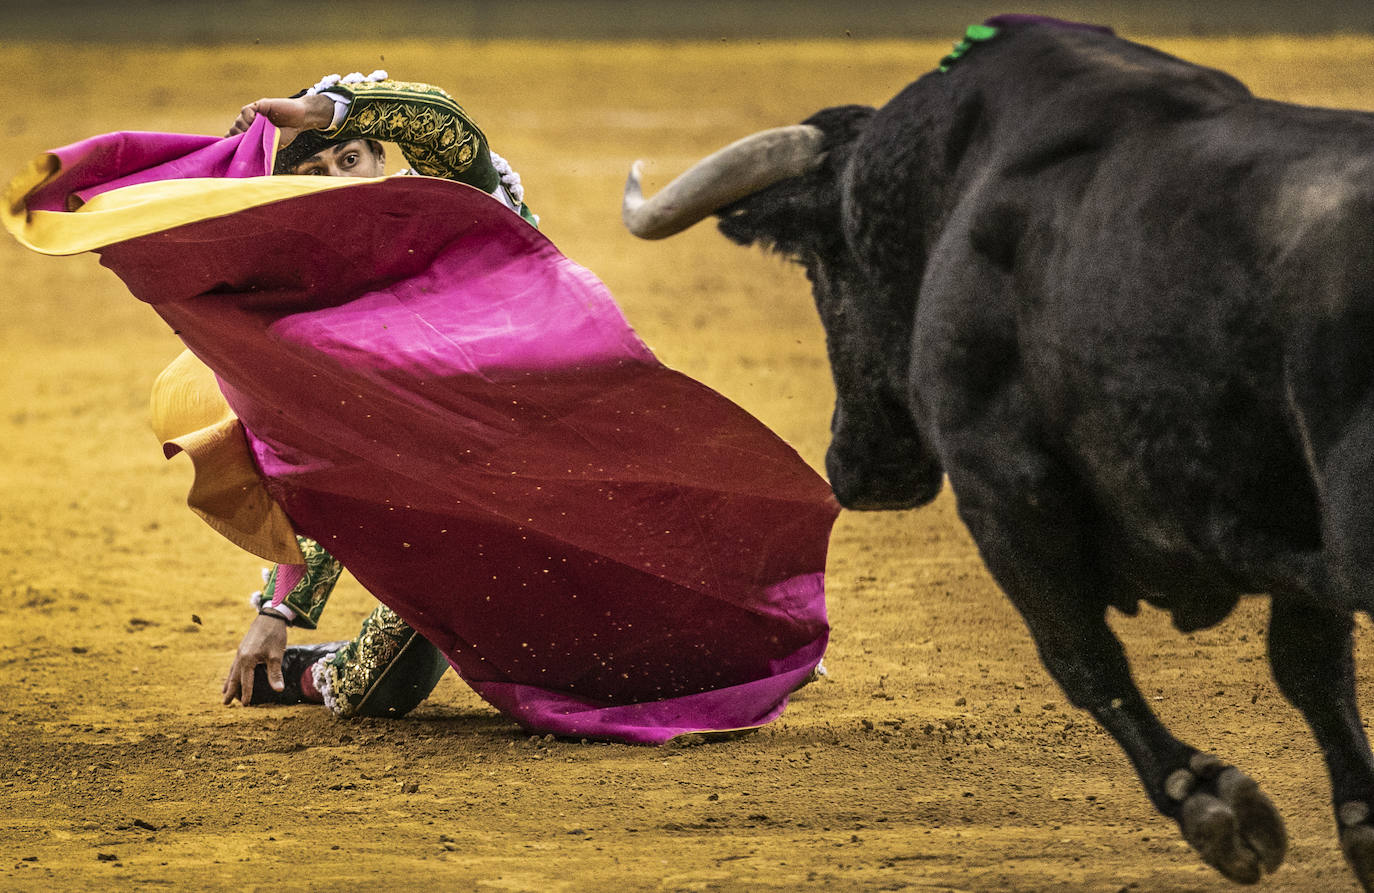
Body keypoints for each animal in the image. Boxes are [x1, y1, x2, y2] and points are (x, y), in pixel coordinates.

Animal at [629, 15, 1374, 890]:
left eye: (823, 264)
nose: (850, 464)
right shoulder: (1282, 511)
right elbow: (1310, 668)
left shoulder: (1001, 490)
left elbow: (1081, 656)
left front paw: (1213, 805)